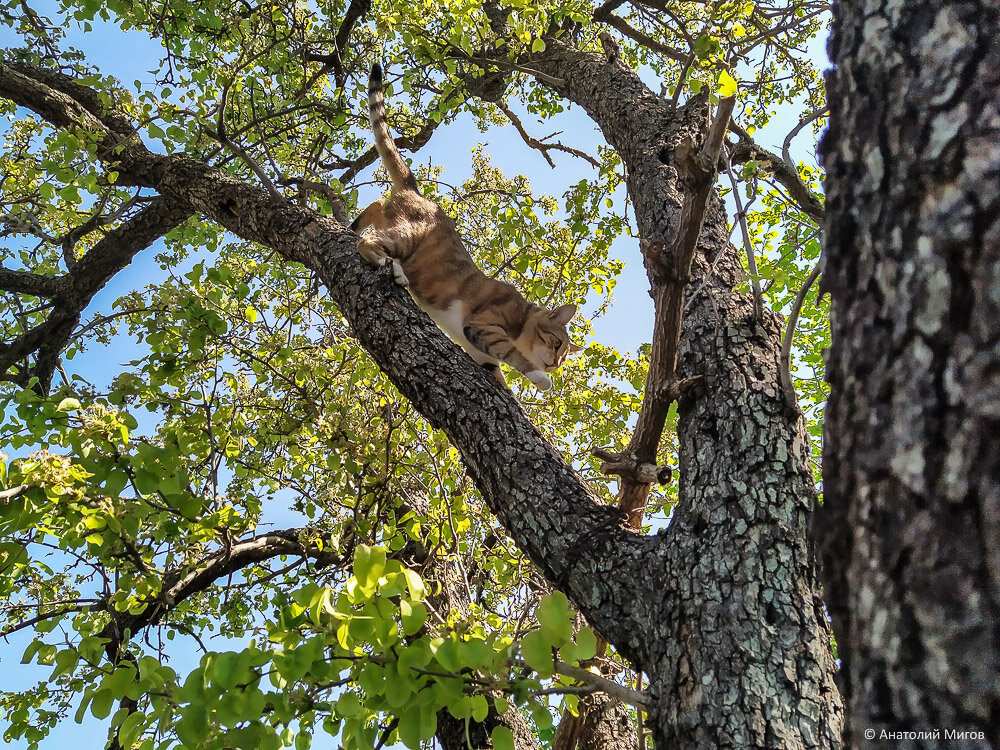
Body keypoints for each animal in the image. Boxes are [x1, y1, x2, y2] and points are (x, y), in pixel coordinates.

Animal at [354, 64, 584, 390]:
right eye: (556, 344)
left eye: (562, 359)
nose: (552, 364)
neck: (523, 317)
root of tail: (419, 194)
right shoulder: (482, 327)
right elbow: (513, 354)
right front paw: (539, 378)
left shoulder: (482, 356)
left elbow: (500, 377)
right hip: (408, 236)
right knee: (368, 242)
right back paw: (393, 268)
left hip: (395, 221)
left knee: (375, 207)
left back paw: (352, 225)